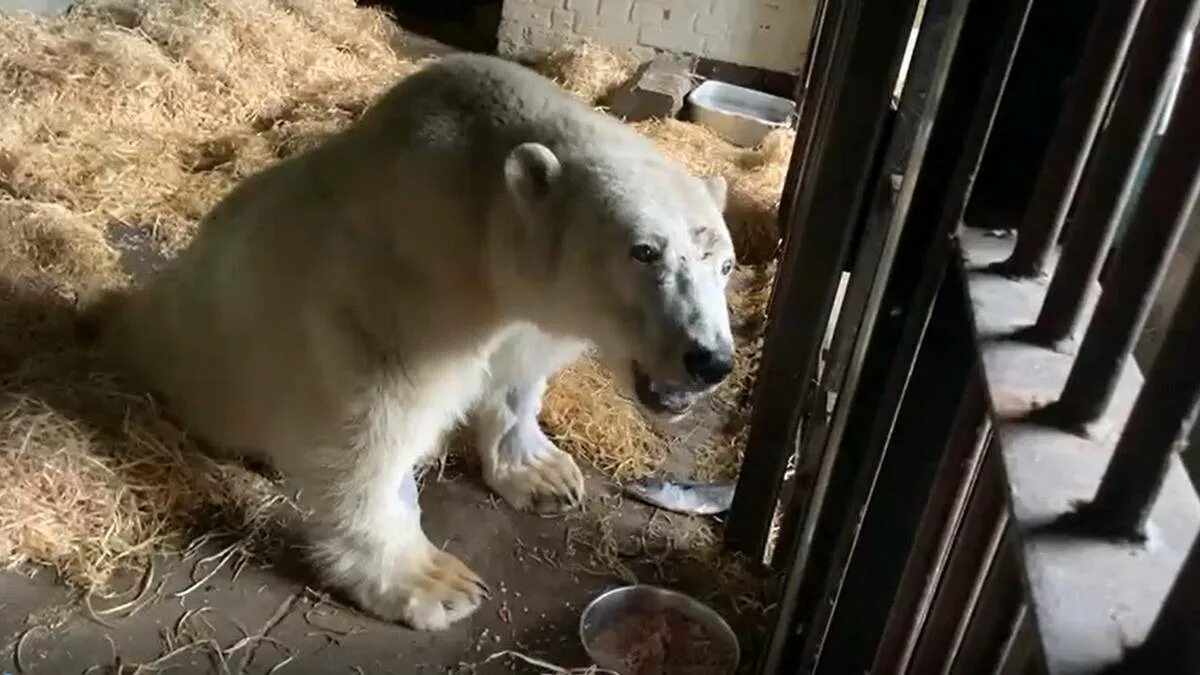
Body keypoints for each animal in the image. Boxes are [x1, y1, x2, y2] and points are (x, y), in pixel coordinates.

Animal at [103, 52, 734, 624]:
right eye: (644, 251)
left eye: (725, 264)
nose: (710, 360)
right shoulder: (402, 291)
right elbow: (372, 431)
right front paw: (432, 582)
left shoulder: (521, 313)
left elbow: (517, 374)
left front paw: (545, 474)